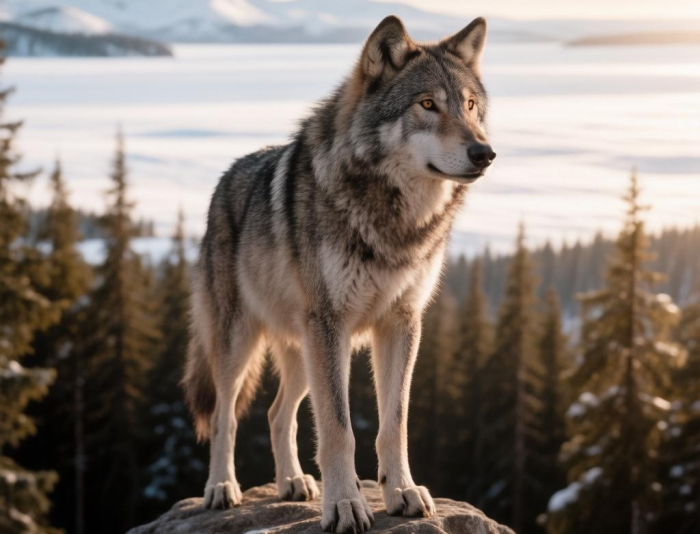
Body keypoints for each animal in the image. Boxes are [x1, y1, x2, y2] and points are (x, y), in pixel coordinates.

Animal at [182, 15, 495, 533]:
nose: (484, 153)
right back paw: (221, 488)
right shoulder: (331, 324)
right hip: (240, 343)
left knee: (277, 413)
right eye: (427, 104)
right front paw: (346, 504)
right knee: (227, 415)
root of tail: (222, 181)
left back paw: (292, 483)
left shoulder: (401, 324)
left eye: (470, 106)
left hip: (304, 349)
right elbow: (338, 429)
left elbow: (394, 422)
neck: (395, 221)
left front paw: (402, 492)